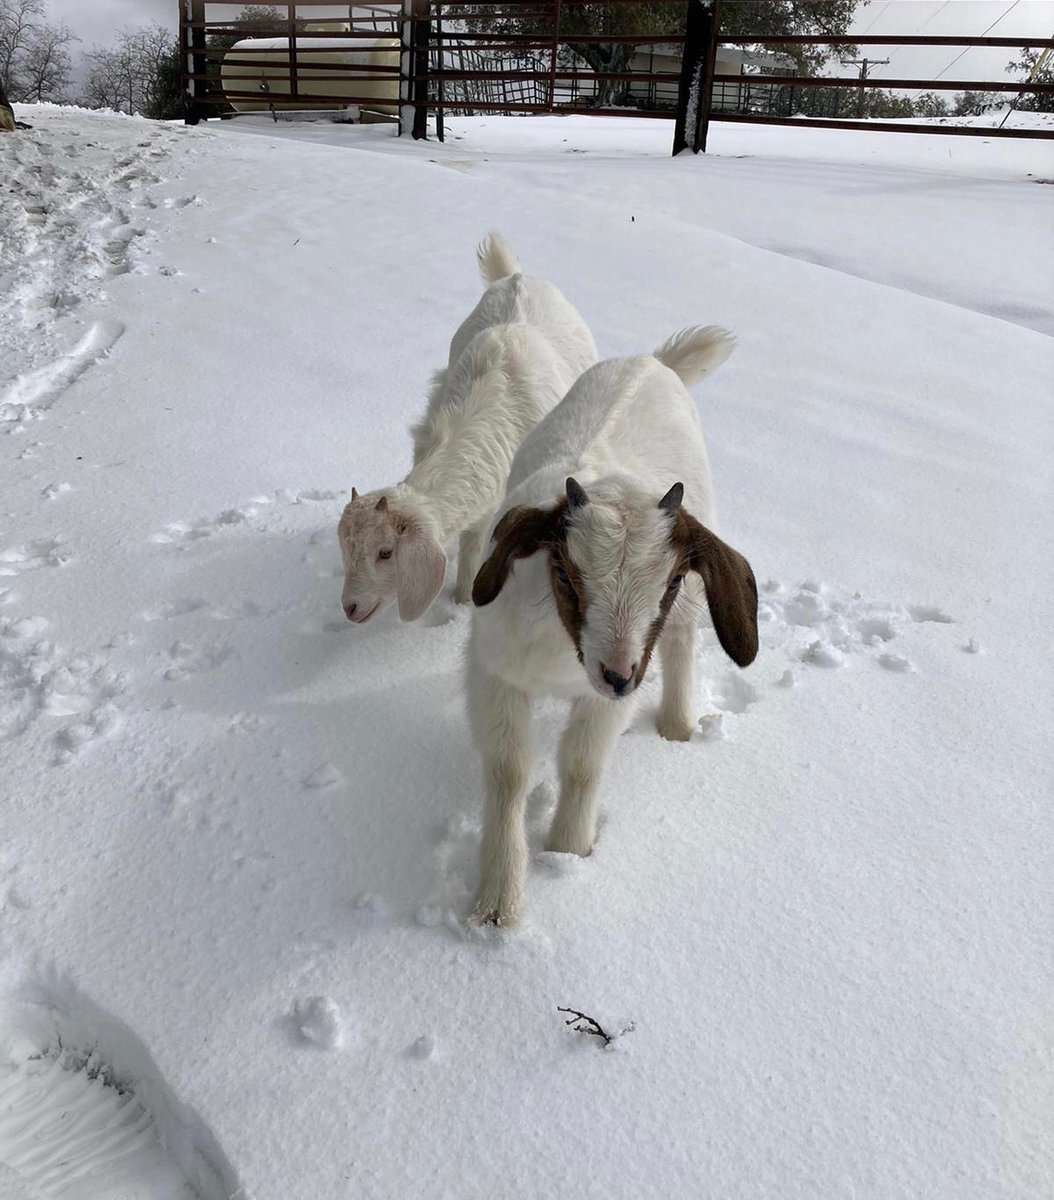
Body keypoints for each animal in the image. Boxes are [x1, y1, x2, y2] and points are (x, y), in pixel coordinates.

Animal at [466, 326, 758, 927]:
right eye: (563, 572)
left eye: (671, 581)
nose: (619, 674)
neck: (565, 656)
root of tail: (653, 361)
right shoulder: (494, 670)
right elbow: (508, 771)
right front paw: (497, 905)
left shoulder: (609, 694)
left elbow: (582, 763)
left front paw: (568, 852)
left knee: (681, 641)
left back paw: (677, 727)